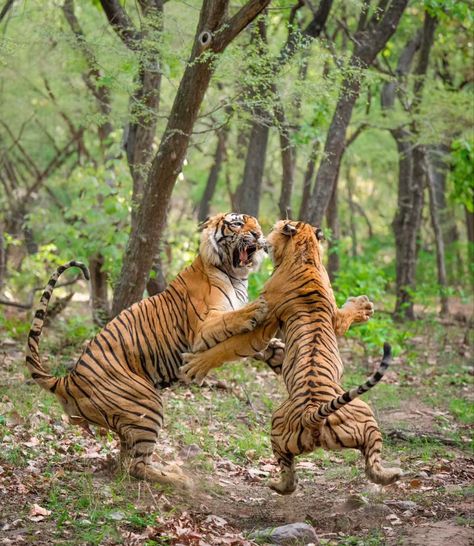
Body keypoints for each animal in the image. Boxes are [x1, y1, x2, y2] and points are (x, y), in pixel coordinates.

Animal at [181, 219, 400, 490]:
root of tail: (312, 416)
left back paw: (273, 485)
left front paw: (195, 364)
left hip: (277, 425)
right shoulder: (335, 318)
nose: (260, 235)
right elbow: (345, 315)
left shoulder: (262, 324)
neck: (306, 253)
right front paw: (365, 306)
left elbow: (228, 346)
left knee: (289, 477)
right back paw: (394, 474)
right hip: (367, 420)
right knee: (372, 465)